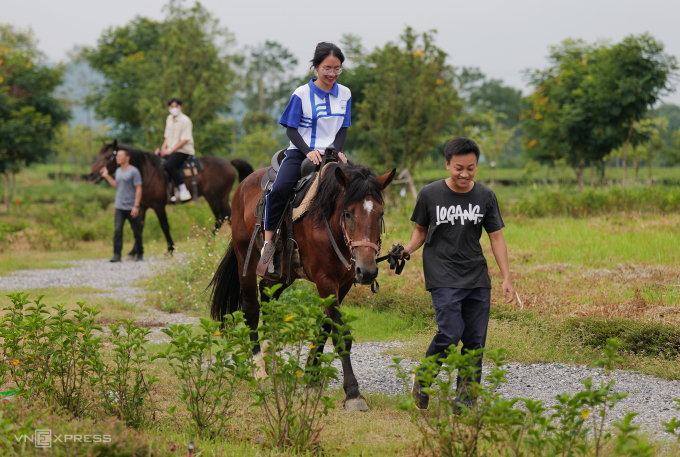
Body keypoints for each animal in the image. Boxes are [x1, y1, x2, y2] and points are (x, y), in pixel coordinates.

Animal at [87, 141, 252, 255]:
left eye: (108, 156)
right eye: (98, 155)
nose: (91, 174)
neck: (145, 172)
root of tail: (229, 162)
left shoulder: (158, 206)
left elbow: (164, 226)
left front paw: (170, 249)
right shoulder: (142, 206)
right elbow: (138, 227)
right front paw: (134, 252)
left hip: (214, 197)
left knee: (220, 217)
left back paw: (209, 244)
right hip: (221, 197)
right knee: (228, 216)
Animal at [210, 161, 396, 410]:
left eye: (380, 213)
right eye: (348, 213)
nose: (367, 272)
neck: (329, 223)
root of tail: (243, 186)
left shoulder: (343, 284)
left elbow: (325, 326)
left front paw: (311, 377)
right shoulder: (325, 280)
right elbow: (340, 334)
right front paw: (353, 393)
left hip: (282, 274)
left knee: (267, 294)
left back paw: (268, 356)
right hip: (245, 261)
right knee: (251, 308)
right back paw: (259, 369)